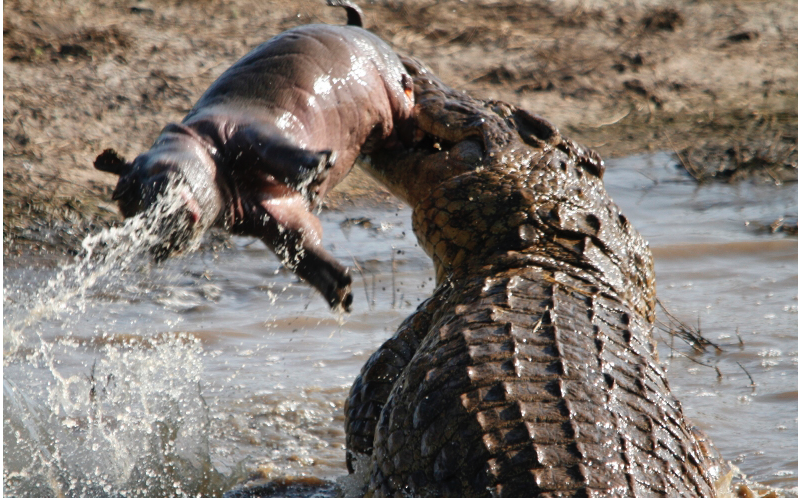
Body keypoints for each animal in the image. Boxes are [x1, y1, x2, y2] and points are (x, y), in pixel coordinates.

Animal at [94, 0, 416, 310]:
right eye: (123, 202)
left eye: (132, 185)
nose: (154, 243)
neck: (198, 145)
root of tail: (354, 26)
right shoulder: (262, 213)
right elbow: (299, 244)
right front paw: (340, 292)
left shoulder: (240, 129)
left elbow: (271, 149)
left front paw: (318, 171)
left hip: (389, 83)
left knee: (402, 109)